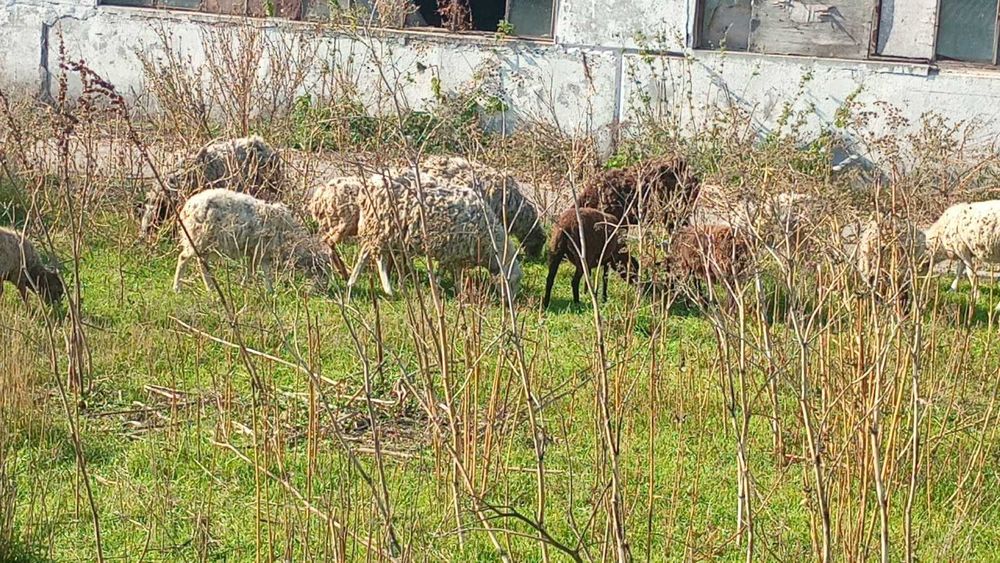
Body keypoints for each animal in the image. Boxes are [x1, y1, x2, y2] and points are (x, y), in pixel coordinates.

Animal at [172, 189, 330, 294]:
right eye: (322, 273)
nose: (324, 289)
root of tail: (187, 208)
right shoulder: (261, 249)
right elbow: (261, 270)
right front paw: (265, 289)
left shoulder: (256, 251)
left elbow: (255, 269)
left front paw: (261, 289)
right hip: (198, 238)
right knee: (183, 258)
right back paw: (178, 288)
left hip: (205, 243)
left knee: (202, 263)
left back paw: (210, 288)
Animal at [346, 172, 523, 298]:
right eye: (511, 282)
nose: (510, 302)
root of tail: (370, 185)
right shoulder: (452, 250)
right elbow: (445, 272)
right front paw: (440, 290)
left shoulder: (457, 254)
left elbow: (456, 273)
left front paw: (459, 293)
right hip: (379, 228)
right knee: (370, 257)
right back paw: (366, 285)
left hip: (384, 233)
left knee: (375, 257)